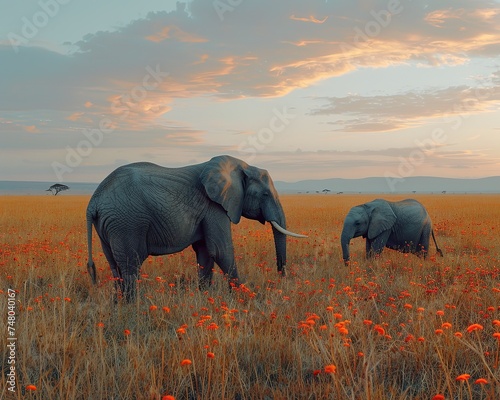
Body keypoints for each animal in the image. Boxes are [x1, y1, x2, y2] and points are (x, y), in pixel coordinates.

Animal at [86, 155, 304, 300]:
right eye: (265, 194)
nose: (281, 278)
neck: (242, 166)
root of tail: (94, 201)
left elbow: (205, 252)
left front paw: (205, 298)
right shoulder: (214, 206)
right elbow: (221, 251)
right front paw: (245, 297)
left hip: (110, 225)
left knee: (115, 266)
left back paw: (119, 305)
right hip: (126, 223)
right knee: (131, 265)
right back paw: (135, 307)